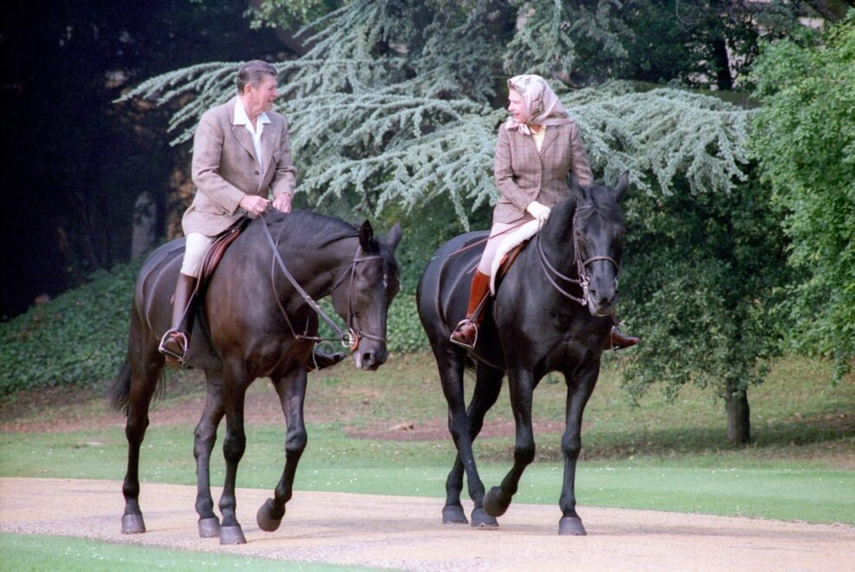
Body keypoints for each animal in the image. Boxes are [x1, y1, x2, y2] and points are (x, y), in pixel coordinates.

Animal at [109, 210, 401, 544]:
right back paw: (133, 511)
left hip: (217, 377)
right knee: (136, 428)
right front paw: (231, 521)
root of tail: (151, 264)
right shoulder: (237, 373)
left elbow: (296, 440)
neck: (275, 285)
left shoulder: (291, 373)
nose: (373, 356)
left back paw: (206, 515)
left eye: (394, 290)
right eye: (364, 287)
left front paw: (271, 512)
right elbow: (235, 444)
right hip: (148, 364)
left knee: (202, 436)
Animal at [417, 173, 629, 535]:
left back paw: (457, 501)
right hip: (447, 356)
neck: (564, 298)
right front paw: (497, 499)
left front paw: (569, 514)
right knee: (459, 423)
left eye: (620, 233)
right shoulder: (522, 372)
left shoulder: (585, 372)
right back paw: (478, 503)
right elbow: (525, 447)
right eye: (580, 234)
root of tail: (442, 256)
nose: (602, 296)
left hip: (489, 371)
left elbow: (571, 441)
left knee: (472, 422)